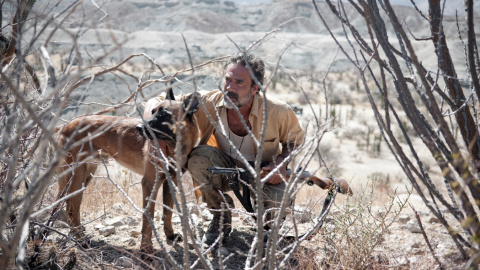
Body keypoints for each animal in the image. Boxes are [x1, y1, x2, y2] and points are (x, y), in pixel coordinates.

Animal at [54, 92, 199, 253]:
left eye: (163, 114)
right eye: (153, 111)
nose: (139, 127)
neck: (173, 146)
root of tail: (64, 126)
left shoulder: (171, 180)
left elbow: (168, 212)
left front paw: (170, 235)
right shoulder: (149, 183)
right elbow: (148, 217)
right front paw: (146, 249)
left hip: (84, 176)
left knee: (63, 204)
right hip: (76, 175)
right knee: (71, 208)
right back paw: (81, 240)